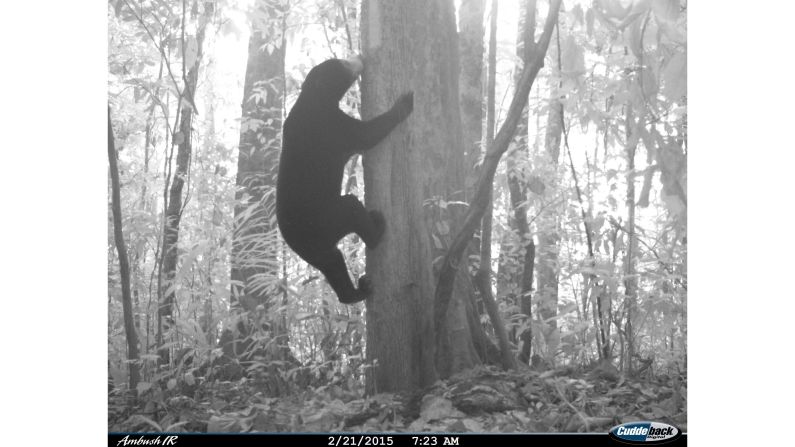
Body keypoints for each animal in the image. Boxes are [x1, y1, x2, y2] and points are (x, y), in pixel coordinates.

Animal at [276, 55, 414, 304]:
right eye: (342, 64)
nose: (360, 57)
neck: (313, 98)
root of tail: (296, 240)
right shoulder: (333, 127)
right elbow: (367, 134)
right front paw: (405, 102)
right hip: (329, 217)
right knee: (352, 209)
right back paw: (377, 226)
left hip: (320, 247)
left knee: (333, 264)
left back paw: (356, 292)